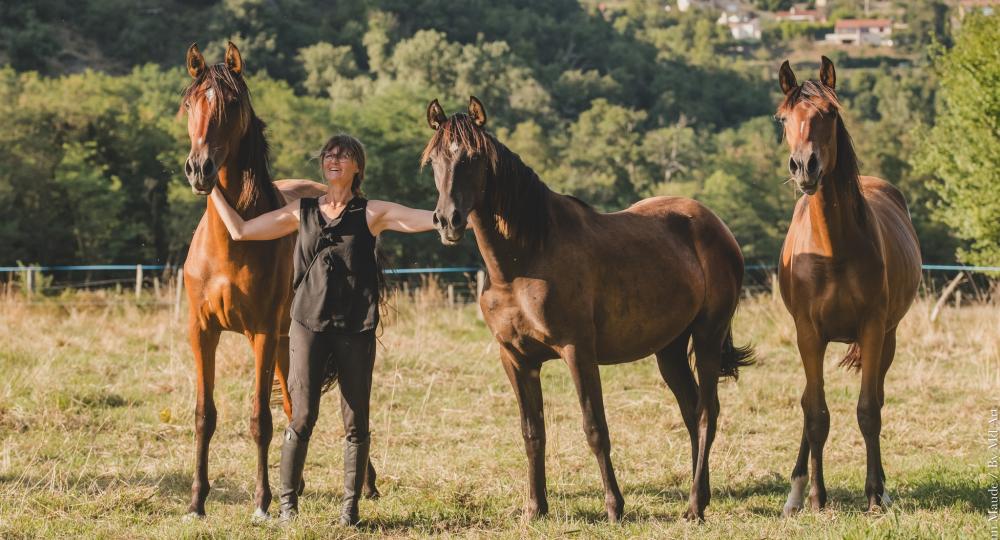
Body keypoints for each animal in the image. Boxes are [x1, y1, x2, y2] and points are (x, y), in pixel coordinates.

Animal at [418, 98, 752, 524]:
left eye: (473, 157)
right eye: (434, 161)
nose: (448, 220)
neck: (523, 261)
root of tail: (715, 226)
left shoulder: (578, 351)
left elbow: (595, 428)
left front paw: (614, 506)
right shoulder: (516, 359)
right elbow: (532, 432)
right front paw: (535, 508)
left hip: (707, 338)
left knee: (708, 413)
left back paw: (694, 507)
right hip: (670, 349)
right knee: (692, 413)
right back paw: (703, 496)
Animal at [772, 57, 920, 516]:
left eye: (831, 113)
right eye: (782, 118)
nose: (805, 166)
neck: (832, 250)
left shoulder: (873, 329)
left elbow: (869, 410)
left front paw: (874, 493)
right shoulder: (808, 334)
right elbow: (816, 413)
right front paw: (817, 496)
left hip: (888, 337)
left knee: (876, 397)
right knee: (808, 403)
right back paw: (797, 492)